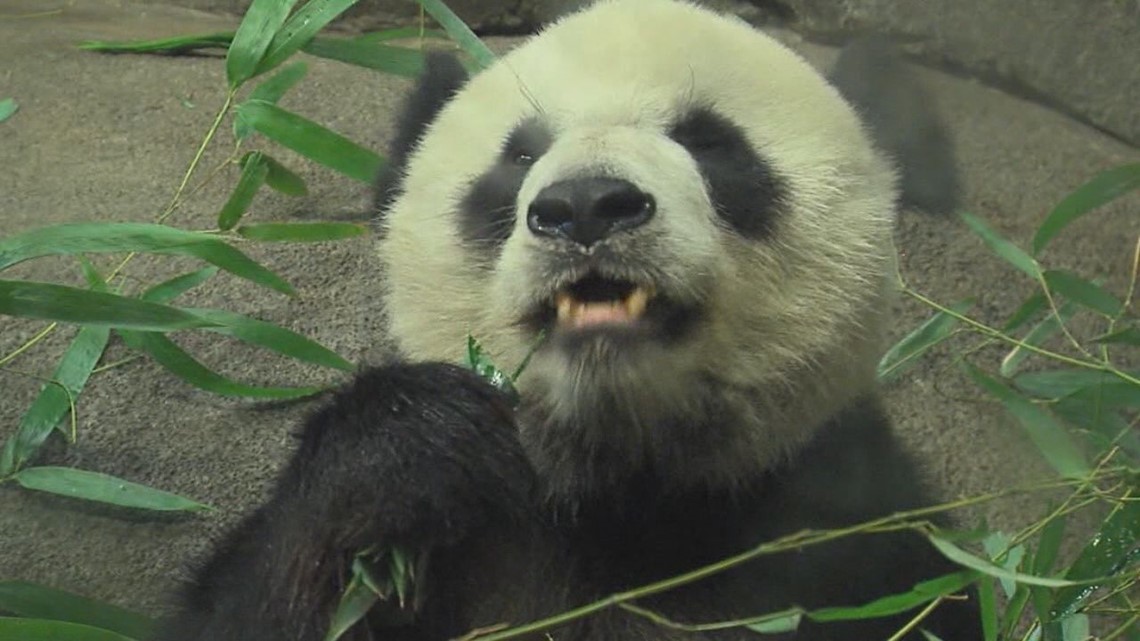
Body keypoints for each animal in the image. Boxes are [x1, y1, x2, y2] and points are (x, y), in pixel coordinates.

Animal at [153, 1, 980, 638]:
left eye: (709, 141)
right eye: (520, 156)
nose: (586, 206)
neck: (618, 486)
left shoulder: (854, 534)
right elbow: (251, 602)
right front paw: (408, 442)